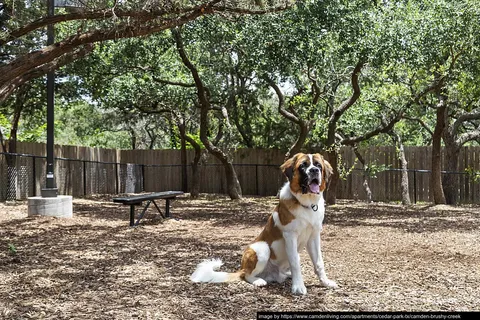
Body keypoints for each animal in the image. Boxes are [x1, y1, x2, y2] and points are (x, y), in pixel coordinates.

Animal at [191, 152, 338, 296]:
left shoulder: (313, 236)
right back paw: (258, 281)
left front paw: (325, 282)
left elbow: (319, 262)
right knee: (246, 275)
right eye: (303, 166)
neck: (307, 204)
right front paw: (298, 287)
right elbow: (295, 262)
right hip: (262, 248)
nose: (314, 170)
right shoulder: (290, 236)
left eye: (318, 165)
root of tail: (242, 268)